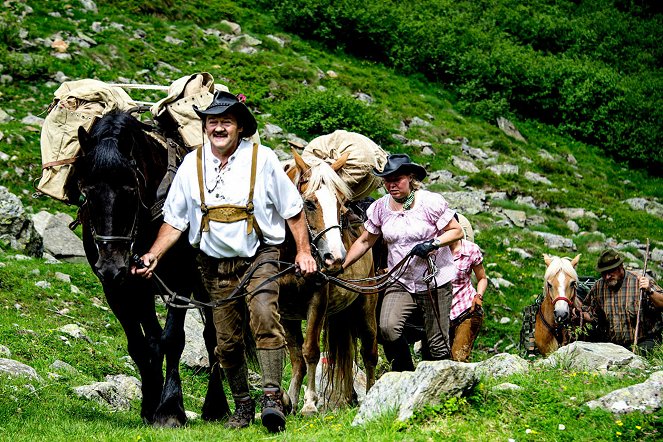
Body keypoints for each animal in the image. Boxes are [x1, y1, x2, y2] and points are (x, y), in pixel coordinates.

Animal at [75, 112, 230, 426]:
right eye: (86, 195)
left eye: (130, 191)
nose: (111, 265)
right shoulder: (123, 287)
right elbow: (142, 343)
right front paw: (149, 404)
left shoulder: (181, 281)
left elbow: (172, 339)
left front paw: (170, 409)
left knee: (212, 337)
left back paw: (216, 407)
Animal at [278, 149, 376, 414]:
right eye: (309, 203)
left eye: (342, 204)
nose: (335, 257)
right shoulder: (284, 313)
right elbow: (296, 358)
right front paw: (290, 401)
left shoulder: (317, 302)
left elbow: (310, 351)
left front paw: (310, 403)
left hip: (366, 308)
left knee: (369, 353)